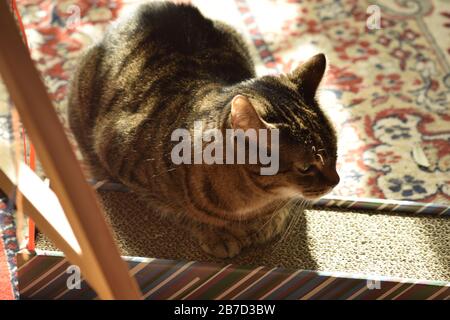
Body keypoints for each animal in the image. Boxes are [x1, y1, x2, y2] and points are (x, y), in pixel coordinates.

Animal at [68, 1, 340, 258]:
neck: (253, 202)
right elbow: (182, 213)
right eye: (305, 168)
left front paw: (267, 222)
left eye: (335, 154)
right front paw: (217, 234)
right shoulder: (127, 166)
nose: (336, 181)